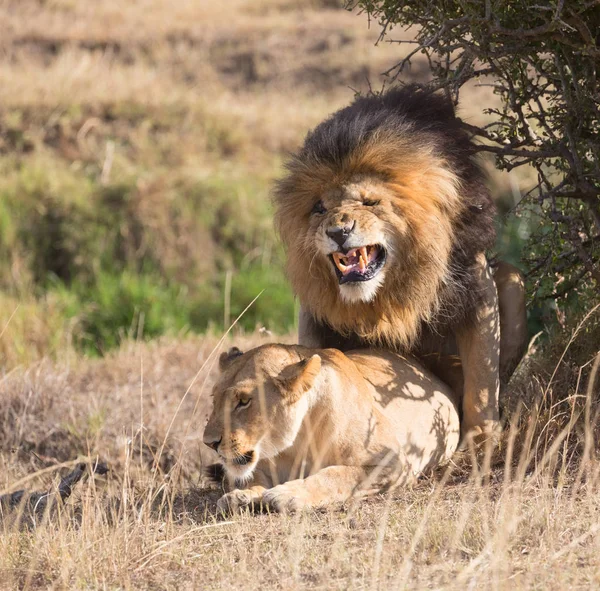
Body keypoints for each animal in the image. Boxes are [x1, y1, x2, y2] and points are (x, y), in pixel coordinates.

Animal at [203, 344, 460, 516]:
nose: (209, 443)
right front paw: (241, 496)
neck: (298, 443)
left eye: (244, 401)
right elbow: (252, 478)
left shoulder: (393, 460)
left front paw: (287, 494)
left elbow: (337, 475)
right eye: (214, 399)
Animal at [274, 84, 528, 440]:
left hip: (513, 280)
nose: (338, 231)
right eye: (319, 209)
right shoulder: (316, 309)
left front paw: (481, 438)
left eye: (370, 202)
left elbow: (482, 378)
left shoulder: (475, 287)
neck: (389, 291)